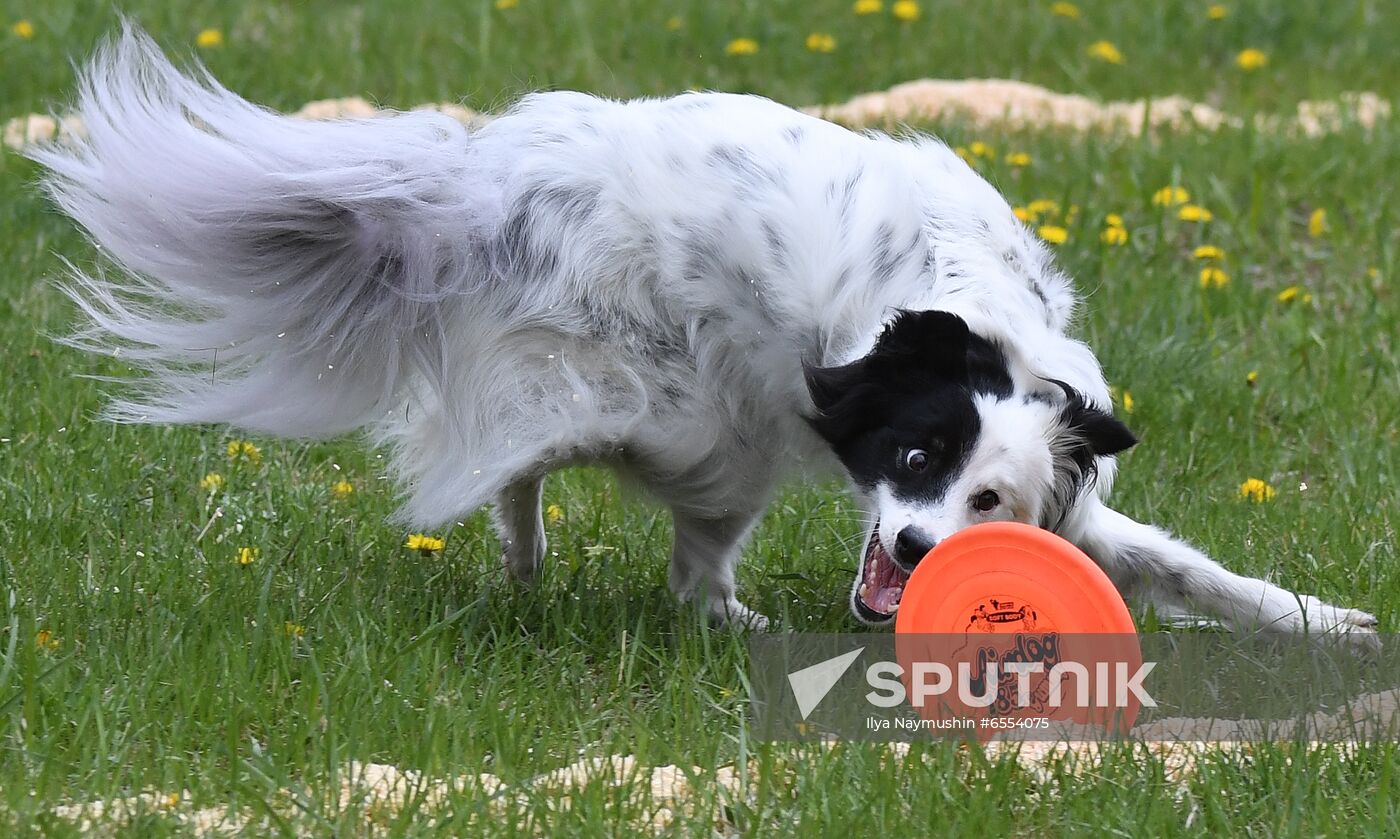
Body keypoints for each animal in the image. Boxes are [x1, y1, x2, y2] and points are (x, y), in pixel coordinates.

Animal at [35, 27, 1377, 644]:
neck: (976, 325)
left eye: (983, 501)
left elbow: (1182, 566)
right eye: (910, 461)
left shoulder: (1074, 496)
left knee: (536, 475)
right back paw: (692, 611)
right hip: (702, 421)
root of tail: (479, 187)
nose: (908, 544)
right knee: (588, 501)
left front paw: (1320, 620)